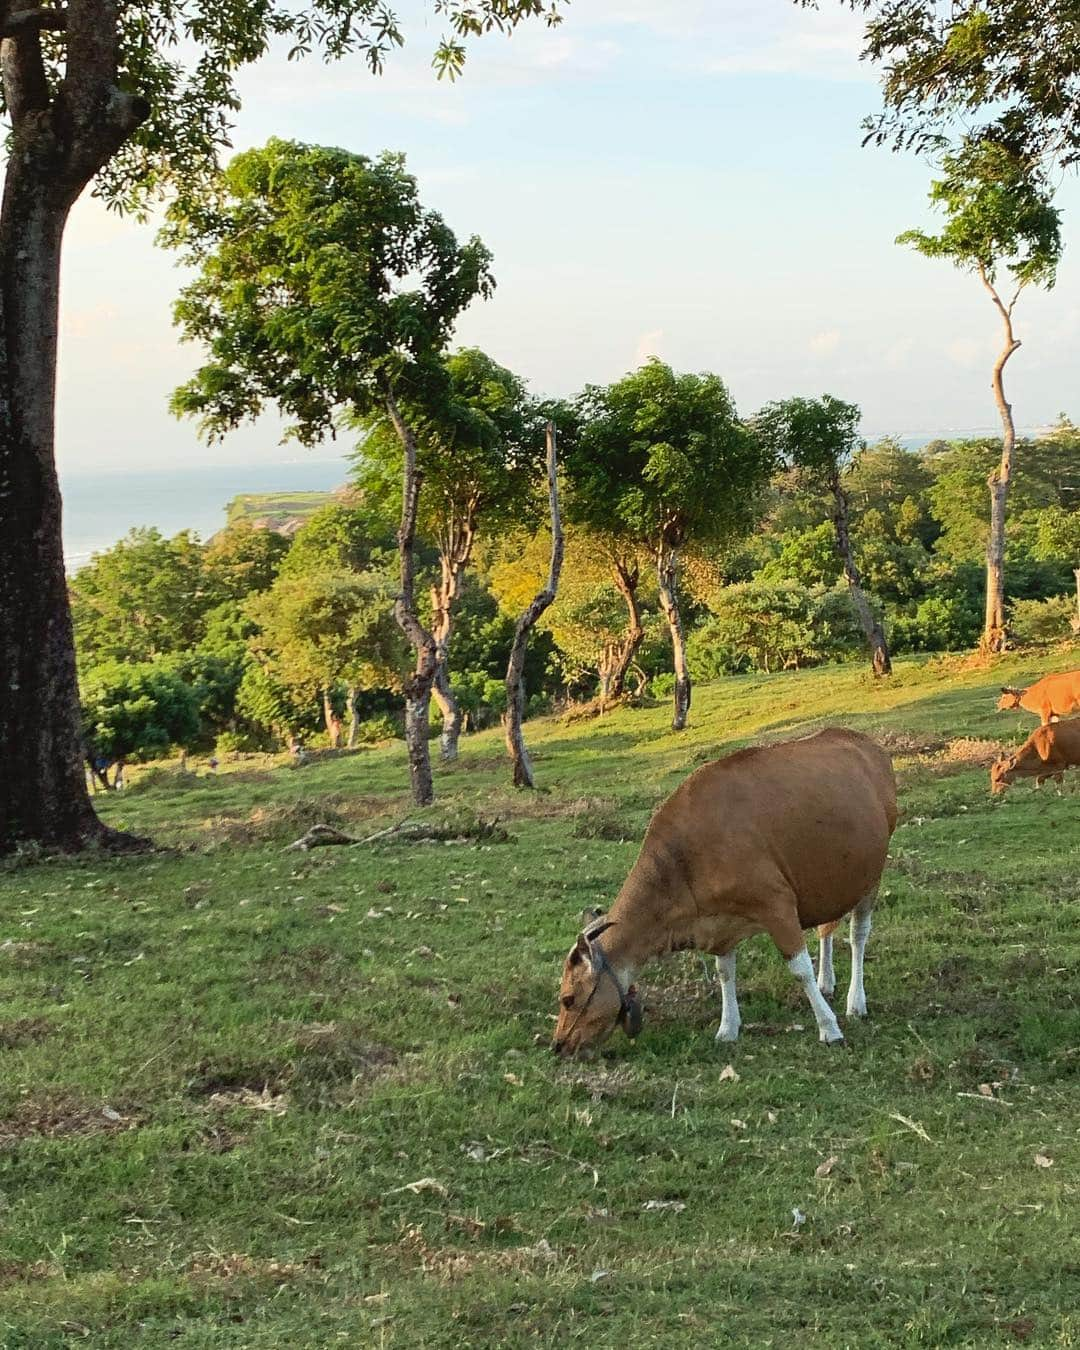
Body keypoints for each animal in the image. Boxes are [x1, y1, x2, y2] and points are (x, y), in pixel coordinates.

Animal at [553, 729, 896, 1053]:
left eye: (568, 998)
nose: (558, 1046)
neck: (686, 860)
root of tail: (866, 743)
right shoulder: (719, 923)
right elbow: (725, 973)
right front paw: (728, 1028)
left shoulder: (777, 904)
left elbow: (800, 970)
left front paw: (829, 1027)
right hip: (832, 880)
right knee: (826, 929)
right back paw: (827, 982)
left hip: (872, 875)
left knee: (858, 935)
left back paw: (856, 1001)